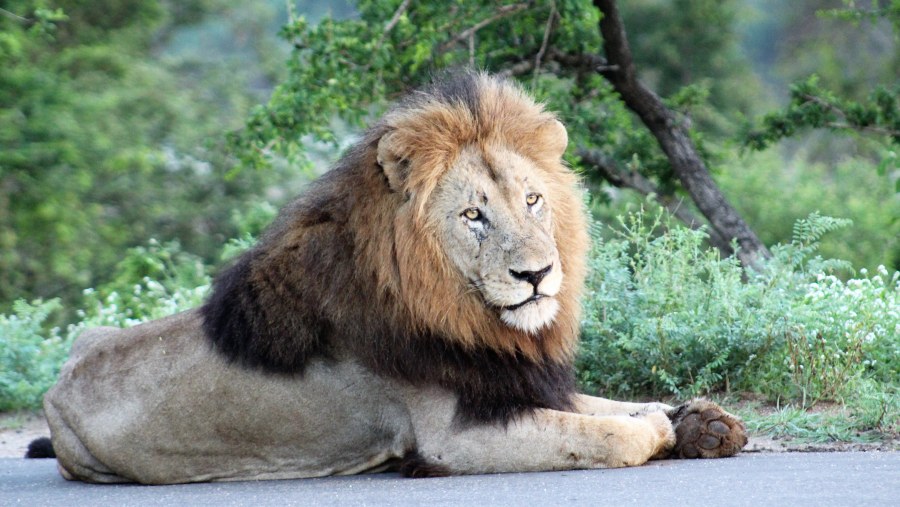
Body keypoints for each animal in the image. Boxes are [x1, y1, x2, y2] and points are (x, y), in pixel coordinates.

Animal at [37, 70, 744, 484]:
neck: (466, 314)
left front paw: (702, 422)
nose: (538, 274)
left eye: (533, 201)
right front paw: (658, 431)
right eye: (473, 216)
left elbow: (610, 405)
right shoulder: (452, 436)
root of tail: (63, 376)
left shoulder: (508, 382)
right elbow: (606, 432)